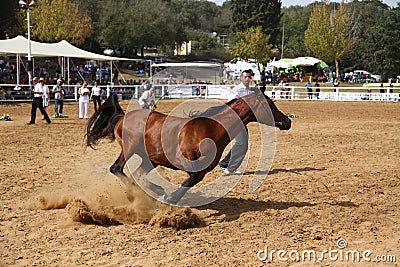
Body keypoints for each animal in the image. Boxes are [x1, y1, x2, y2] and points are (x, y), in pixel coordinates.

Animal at [86, 90, 290, 205]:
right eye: (270, 105)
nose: (287, 121)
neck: (210, 129)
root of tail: (122, 116)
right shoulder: (188, 165)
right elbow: (189, 180)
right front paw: (167, 199)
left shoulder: (201, 170)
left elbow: (190, 181)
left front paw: (165, 196)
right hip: (129, 149)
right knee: (116, 169)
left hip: (149, 157)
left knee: (138, 174)